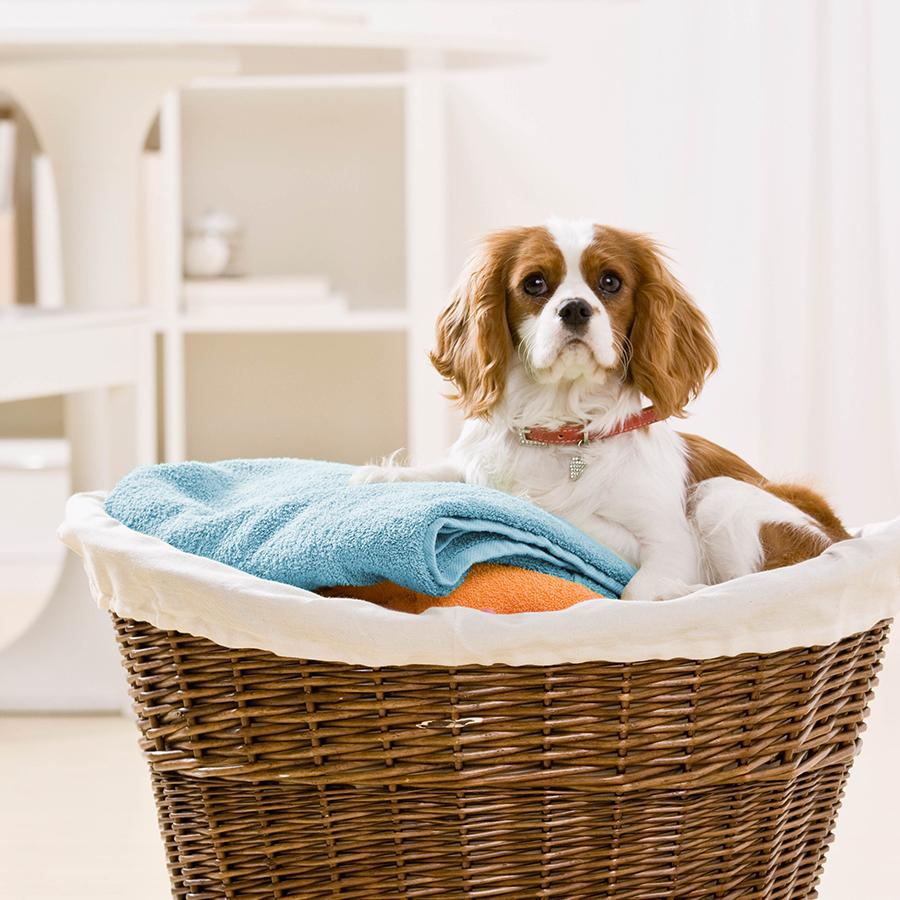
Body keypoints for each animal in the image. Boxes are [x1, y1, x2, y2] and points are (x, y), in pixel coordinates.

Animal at [352, 218, 852, 600]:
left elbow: (635, 586)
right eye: (535, 283)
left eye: (610, 282)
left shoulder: (672, 542)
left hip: (720, 495)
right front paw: (384, 475)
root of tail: (841, 534)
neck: (563, 430)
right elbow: (457, 475)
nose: (575, 308)